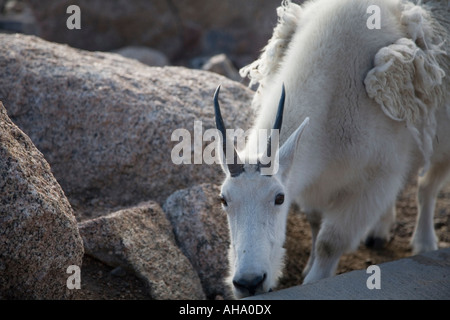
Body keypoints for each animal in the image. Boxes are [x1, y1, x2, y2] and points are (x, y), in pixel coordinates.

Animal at [212, 0, 450, 298]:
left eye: (279, 198)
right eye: (224, 199)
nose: (248, 282)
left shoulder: (374, 179)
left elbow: (330, 241)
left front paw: (313, 280)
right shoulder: (313, 179)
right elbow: (315, 222)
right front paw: (308, 265)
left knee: (427, 187)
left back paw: (424, 242)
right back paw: (380, 232)